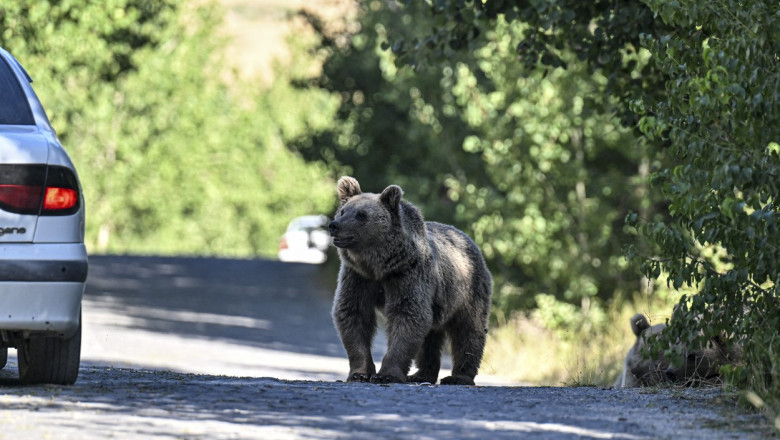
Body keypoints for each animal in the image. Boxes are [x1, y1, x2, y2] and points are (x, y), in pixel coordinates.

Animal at [328, 176, 493, 385]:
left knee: (468, 330)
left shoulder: (407, 275)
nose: (334, 225)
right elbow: (353, 313)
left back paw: (458, 377)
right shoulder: (358, 277)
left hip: (468, 290)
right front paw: (360, 373)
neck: (379, 266)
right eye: (343, 211)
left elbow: (407, 316)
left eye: (361, 215)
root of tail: (468, 239)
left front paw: (387, 374)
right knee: (430, 337)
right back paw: (421, 374)